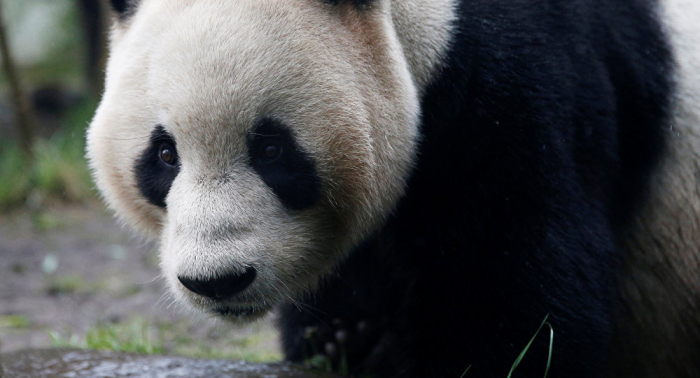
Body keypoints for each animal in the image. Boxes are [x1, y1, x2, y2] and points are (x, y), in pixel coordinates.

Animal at [86, 0, 700, 376]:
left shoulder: (525, 98)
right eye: (165, 155)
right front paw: (344, 339)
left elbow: (526, 305)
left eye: (271, 149)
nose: (218, 280)